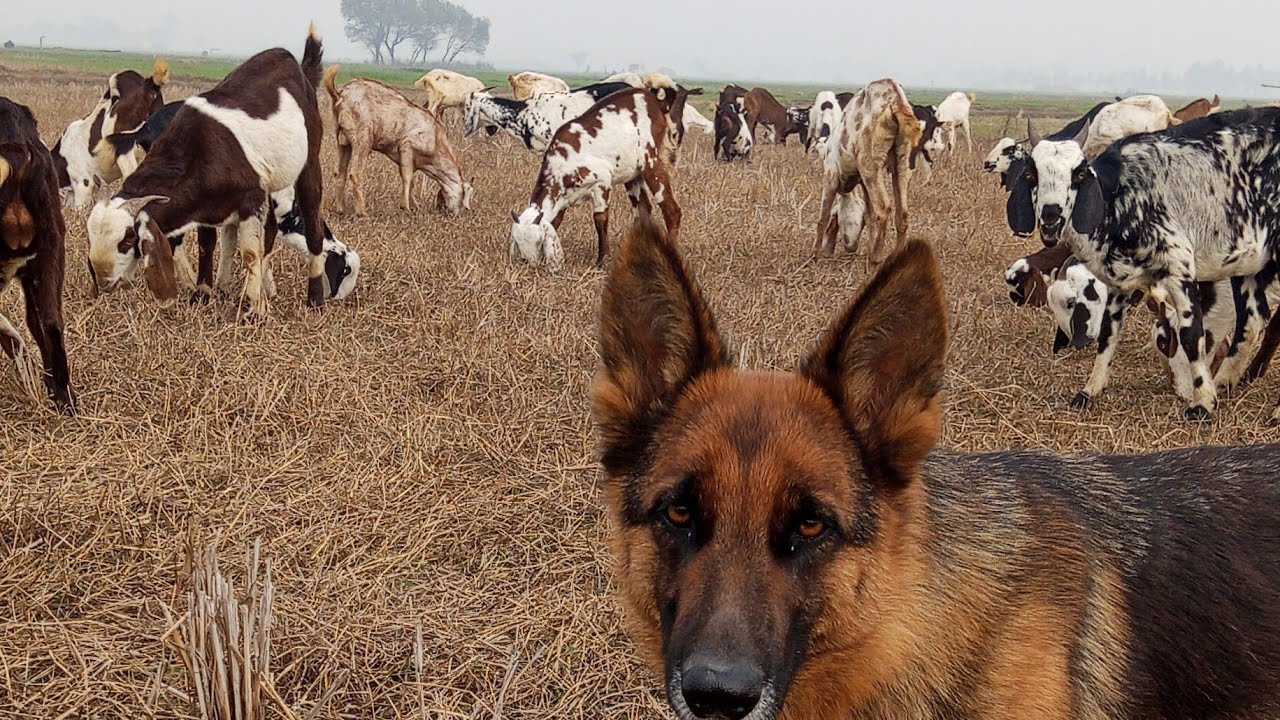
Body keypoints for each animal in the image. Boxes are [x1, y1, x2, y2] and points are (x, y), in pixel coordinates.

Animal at [87, 25, 329, 319]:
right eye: (91, 236)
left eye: (126, 240)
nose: (103, 281)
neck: (198, 148)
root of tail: (299, 70)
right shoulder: (206, 202)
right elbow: (208, 244)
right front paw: (204, 294)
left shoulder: (250, 198)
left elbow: (250, 252)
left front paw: (254, 310)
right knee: (259, 234)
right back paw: (243, 289)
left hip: (309, 165)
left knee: (312, 226)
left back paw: (314, 298)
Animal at [324, 66, 473, 215]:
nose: (456, 213)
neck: (436, 139)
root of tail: (340, 96)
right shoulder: (407, 146)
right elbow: (407, 177)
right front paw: (405, 207)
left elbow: (411, 180)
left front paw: (415, 206)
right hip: (362, 140)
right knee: (355, 174)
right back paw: (362, 212)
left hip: (342, 141)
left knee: (339, 173)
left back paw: (341, 209)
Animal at [508, 88, 680, 269]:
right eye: (518, 242)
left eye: (539, 241)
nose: (530, 263)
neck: (563, 161)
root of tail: (657, 102)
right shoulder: (562, 198)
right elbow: (556, 221)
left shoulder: (601, 183)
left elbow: (600, 219)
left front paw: (601, 260)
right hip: (633, 174)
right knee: (643, 210)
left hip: (652, 161)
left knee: (671, 209)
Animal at [815, 79, 923, 264]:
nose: (851, 248)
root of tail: (896, 101)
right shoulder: (864, 183)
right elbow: (870, 216)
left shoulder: (831, 175)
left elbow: (823, 216)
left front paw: (813, 257)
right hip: (902, 162)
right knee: (902, 213)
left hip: (870, 163)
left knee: (883, 210)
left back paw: (875, 260)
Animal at [1006, 108, 1280, 421]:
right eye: (1031, 173)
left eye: (1079, 173)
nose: (1051, 216)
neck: (1120, 198)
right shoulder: (1118, 280)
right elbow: (1109, 333)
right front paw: (1090, 390)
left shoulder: (1178, 265)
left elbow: (1191, 334)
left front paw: (1201, 402)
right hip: (1249, 262)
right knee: (1253, 320)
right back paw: (1224, 382)